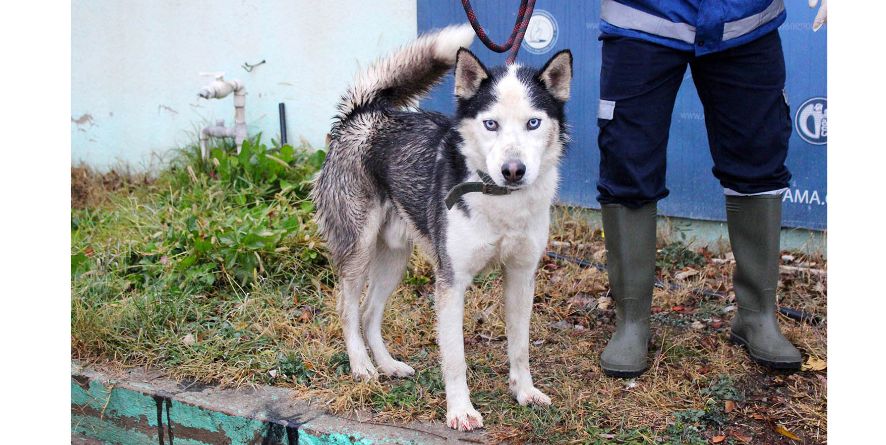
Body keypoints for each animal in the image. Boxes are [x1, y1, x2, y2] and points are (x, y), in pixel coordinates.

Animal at [314, 25, 576, 430]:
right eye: (490, 124)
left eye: (533, 123)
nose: (513, 171)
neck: (500, 200)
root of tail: (364, 113)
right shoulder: (451, 282)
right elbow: (455, 358)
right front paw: (461, 411)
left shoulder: (521, 275)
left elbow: (519, 346)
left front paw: (524, 392)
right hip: (358, 250)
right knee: (348, 309)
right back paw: (362, 367)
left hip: (394, 258)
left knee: (371, 312)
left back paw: (388, 365)